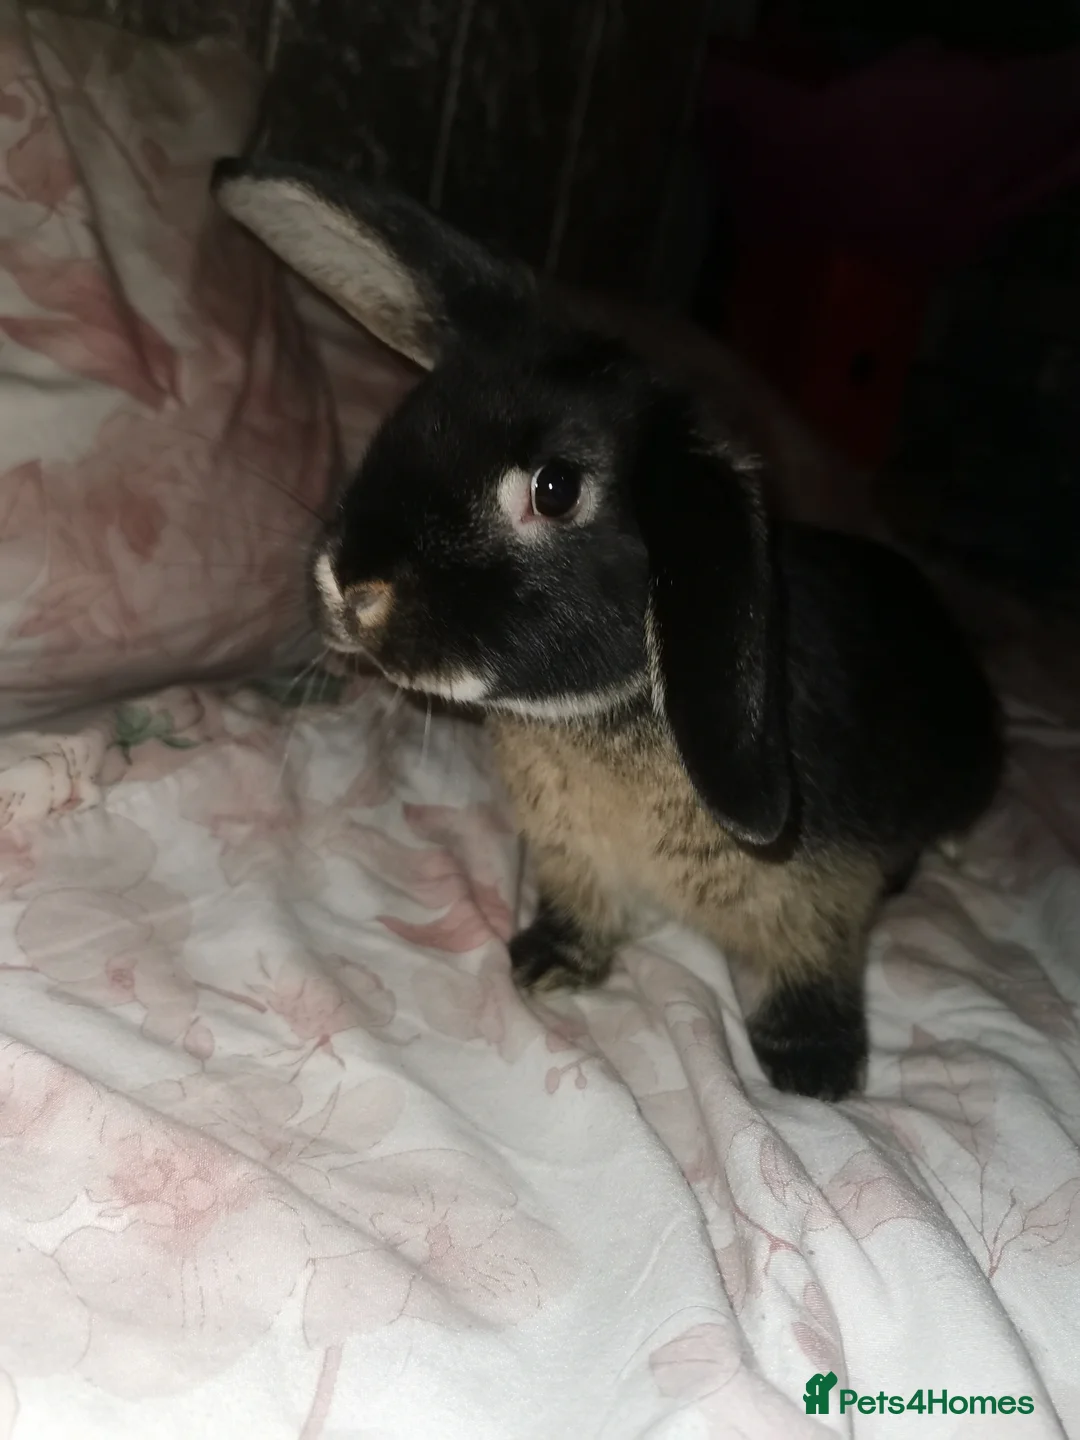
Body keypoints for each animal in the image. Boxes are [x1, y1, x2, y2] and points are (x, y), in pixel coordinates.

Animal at [212, 156, 1004, 1101]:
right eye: (408, 418)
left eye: (555, 490)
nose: (349, 583)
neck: (604, 714)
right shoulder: (572, 857)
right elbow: (581, 910)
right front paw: (544, 964)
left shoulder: (813, 901)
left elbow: (809, 966)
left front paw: (813, 1071)